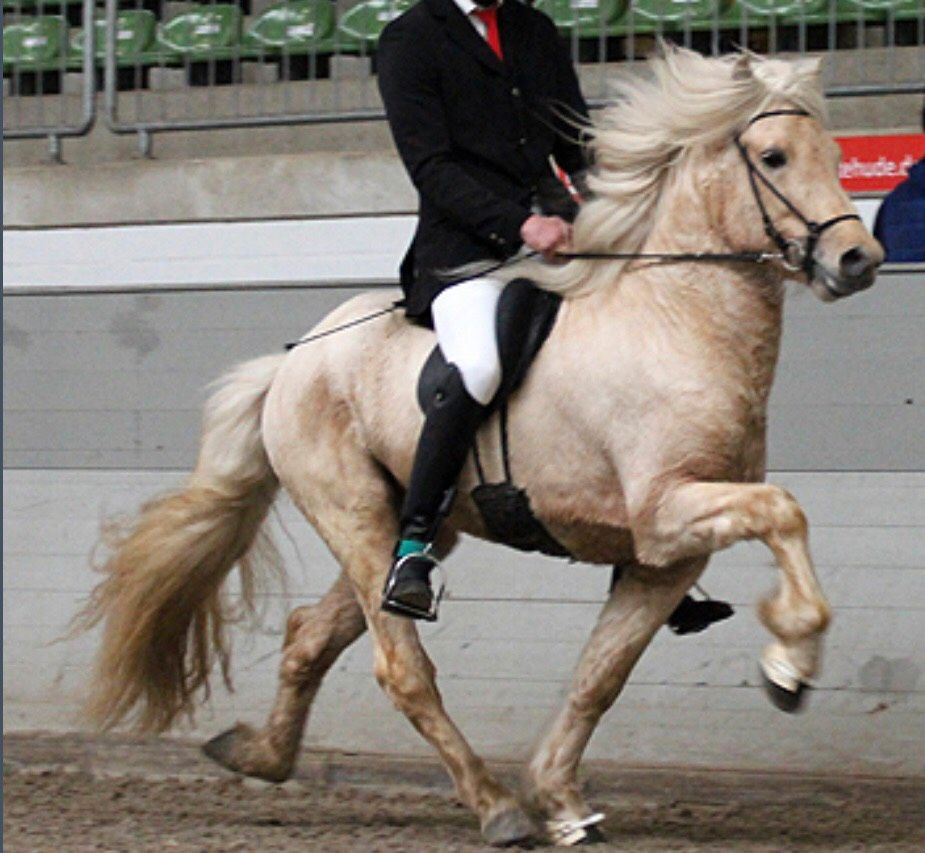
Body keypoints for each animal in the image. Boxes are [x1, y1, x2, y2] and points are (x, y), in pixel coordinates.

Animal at [79, 45, 880, 844]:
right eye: (774, 157)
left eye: (835, 155)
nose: (858, 259)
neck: (675, 321)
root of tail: (294, 360)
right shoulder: (665, 510)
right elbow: (784, 511)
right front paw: (789, 664)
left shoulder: (665, 559)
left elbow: (599, 675)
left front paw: (562, 801)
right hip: (351, 511)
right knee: (400, 667)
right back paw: (495, 807)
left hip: (411, 520)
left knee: (312, 634)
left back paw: (260, 755)